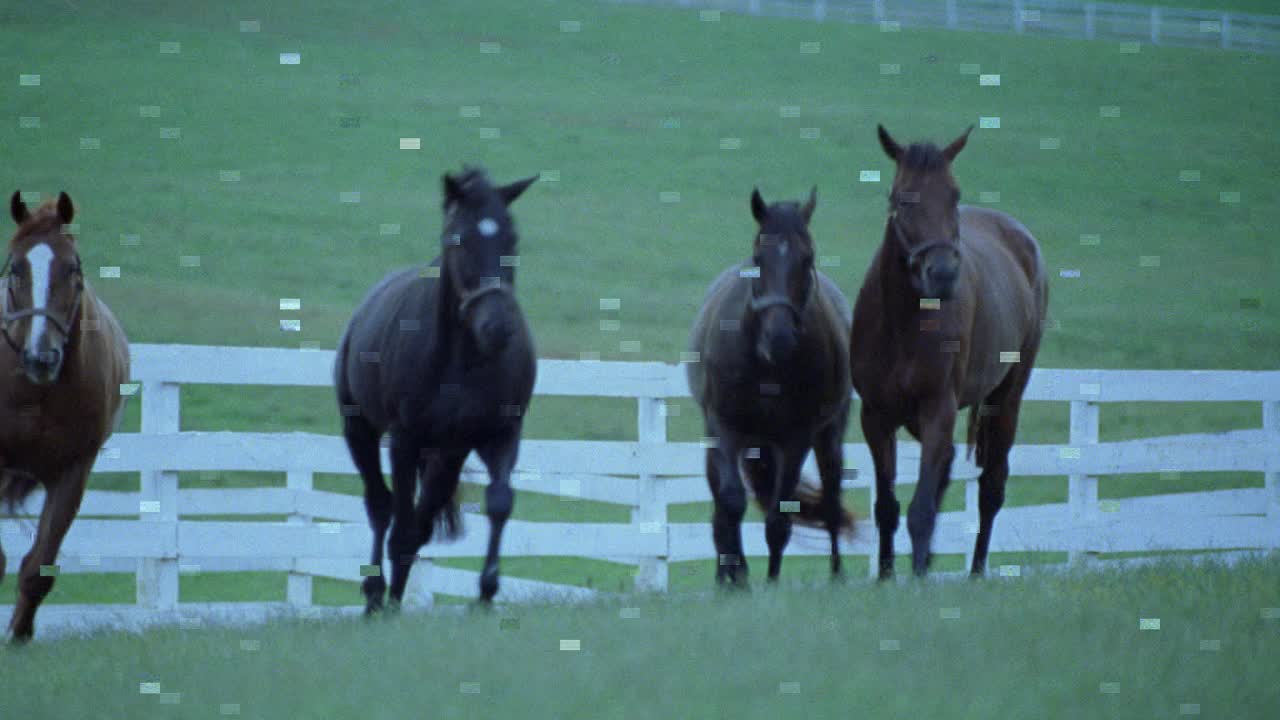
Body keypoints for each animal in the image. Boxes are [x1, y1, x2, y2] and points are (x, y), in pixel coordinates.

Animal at [0, 192, 129, 638]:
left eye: (72, 268)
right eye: (16, 268)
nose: (42, 357)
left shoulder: (73, 470)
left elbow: (38, 568)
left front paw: (18, 637)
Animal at [332, 165, 537, 607]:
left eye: (512, 238)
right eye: (457, 238)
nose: (498, 327)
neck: (464, 361)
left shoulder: (500, 434)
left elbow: (499, 503)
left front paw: (486, 594)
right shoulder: (404, 440)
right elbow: (400, 529)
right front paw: (389, 605)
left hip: (447, 456)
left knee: (419, 522)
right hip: (360, 430)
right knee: (381, 507)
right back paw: (375, 595)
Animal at [686, 184, 855, 584]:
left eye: (808, 257)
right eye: (757, 256)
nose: (778, 338)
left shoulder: (796, 438)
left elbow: (780, 517)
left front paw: (770, 582)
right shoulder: (726, 429)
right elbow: (731, 503)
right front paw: (737, 577)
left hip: (827, 437)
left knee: (831, 498)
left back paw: (837, 575)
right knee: (721, 508)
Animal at [849, 126, 1049, 576]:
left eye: (954, 195)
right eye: (902, 197)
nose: (941, 273)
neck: (903, 324)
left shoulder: (938, 408)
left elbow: (921, 509)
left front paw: (916, 577)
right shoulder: (876, 417)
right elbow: (887, 507)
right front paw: (886, 577)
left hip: (1005, 399)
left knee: (991, 487)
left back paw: (975, 572)